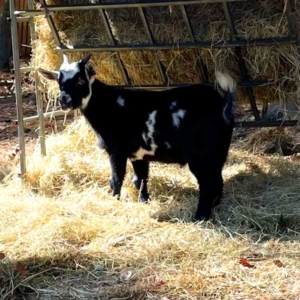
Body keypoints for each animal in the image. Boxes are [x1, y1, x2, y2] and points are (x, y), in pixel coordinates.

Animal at [38, 53, 237, 220]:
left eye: (80, 80)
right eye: (60, 81)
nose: (64, 101)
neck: (107, 104)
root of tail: (222, 103)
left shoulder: (116, 150)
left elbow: (116, 179)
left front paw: (115, 201)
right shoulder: (138, 153)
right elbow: (139, 179)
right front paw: (144, 201)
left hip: (200, 154)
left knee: (207, 183)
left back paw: (200, 216)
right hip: (218, 152)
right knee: (217, 180)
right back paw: (215, 207)